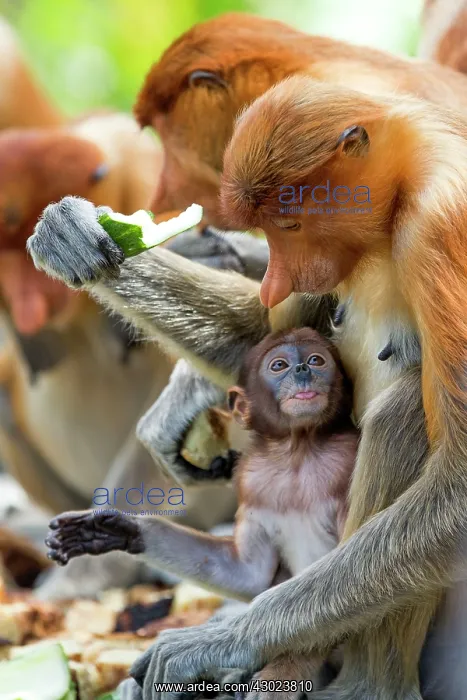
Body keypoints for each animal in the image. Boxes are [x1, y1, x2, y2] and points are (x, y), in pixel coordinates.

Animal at [45, 328, 358, 693]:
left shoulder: (345, 464)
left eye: (316, 360)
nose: (303, 370)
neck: (300, 453)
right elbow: (248, 573)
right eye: (279, 365)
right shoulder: (253, 481)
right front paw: (116, 531)